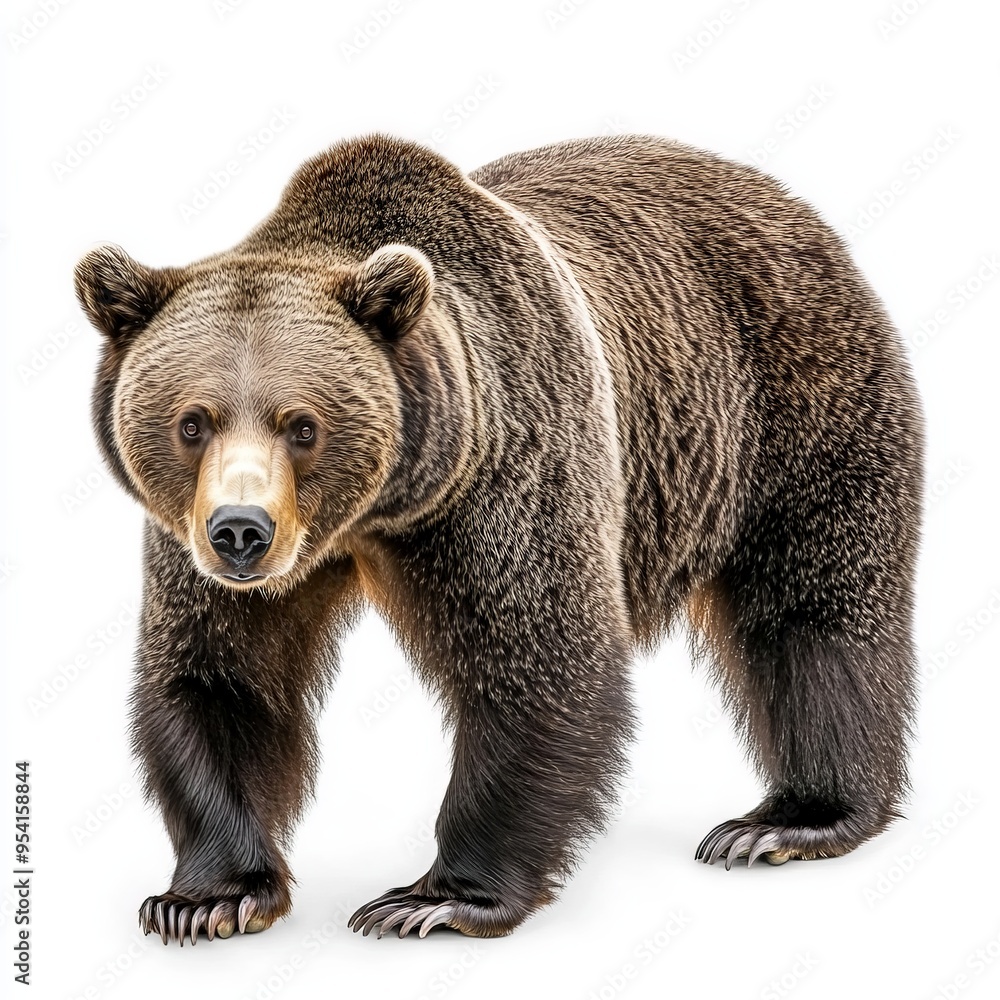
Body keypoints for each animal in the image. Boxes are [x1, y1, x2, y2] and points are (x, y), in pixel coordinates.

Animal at [74, 133, 923, 945]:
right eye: (192, 422)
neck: (380, 510)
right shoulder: (191, 543)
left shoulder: (506, 466)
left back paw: (790, 820)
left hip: (796, 407)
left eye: (303, 424)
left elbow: (538, 660)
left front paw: (435, 900)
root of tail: (787, 200)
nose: (241, 532)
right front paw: (209, 899)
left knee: (814, 610)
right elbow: (221, 676)